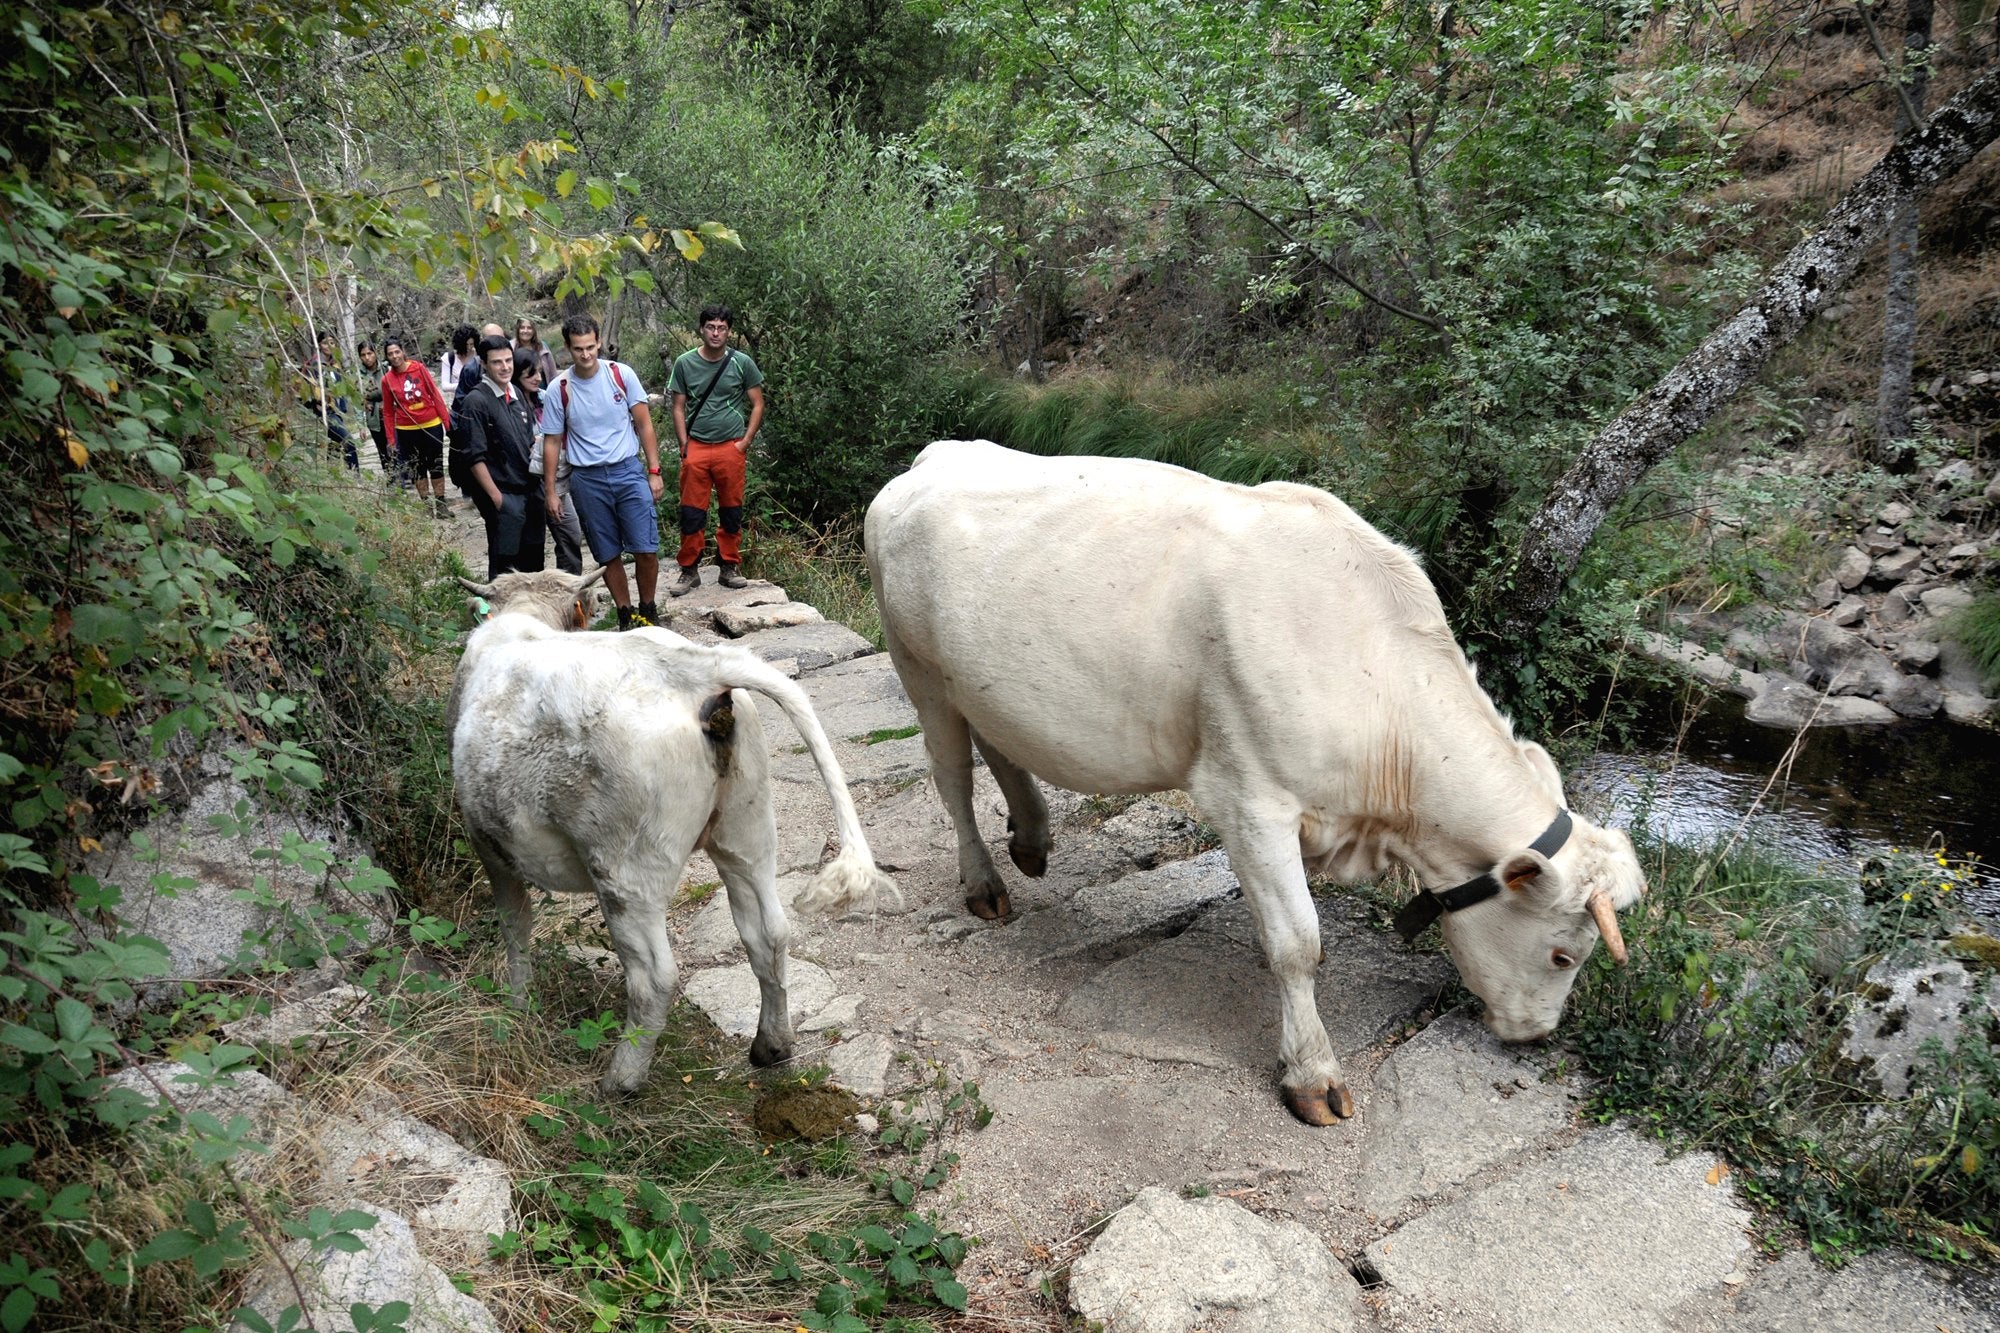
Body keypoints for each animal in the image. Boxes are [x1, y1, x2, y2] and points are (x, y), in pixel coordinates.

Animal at [454, 564, 900, 1088]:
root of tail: (694, 669)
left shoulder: (487, 843)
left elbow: (515, 926)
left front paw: (517, 1006)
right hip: (746, 826)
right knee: (768, 932)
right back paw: (771, 1045)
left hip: (626, 867)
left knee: (653, 976)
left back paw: (620, 1081)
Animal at [872, 444, 1640, 1120]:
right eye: (1564, 952)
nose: (1535, 1035)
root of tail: (939, 455)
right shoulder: (1247, 798)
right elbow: (1297, 943)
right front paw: (1312, 1075)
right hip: (919, 670)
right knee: (952, 777)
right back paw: (984, 882)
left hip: (980, 681)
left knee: (1000, 742)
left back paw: (1031, 838)